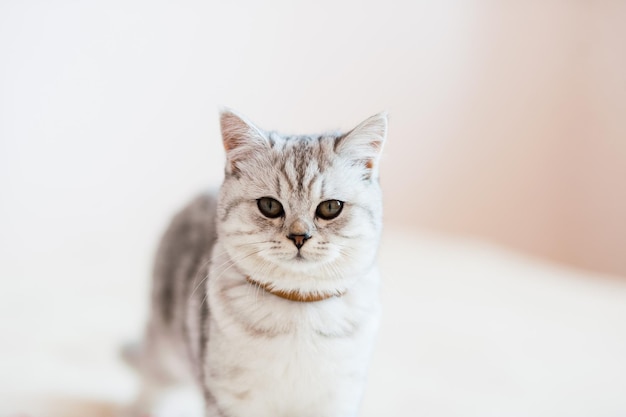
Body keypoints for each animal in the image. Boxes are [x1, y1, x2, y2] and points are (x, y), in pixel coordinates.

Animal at [130, 109, 386, 414]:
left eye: (330, 207)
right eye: (270, 206)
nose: (299, 237)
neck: (299, 310)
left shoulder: (339, 399)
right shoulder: (230, 400)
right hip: (164, 348)